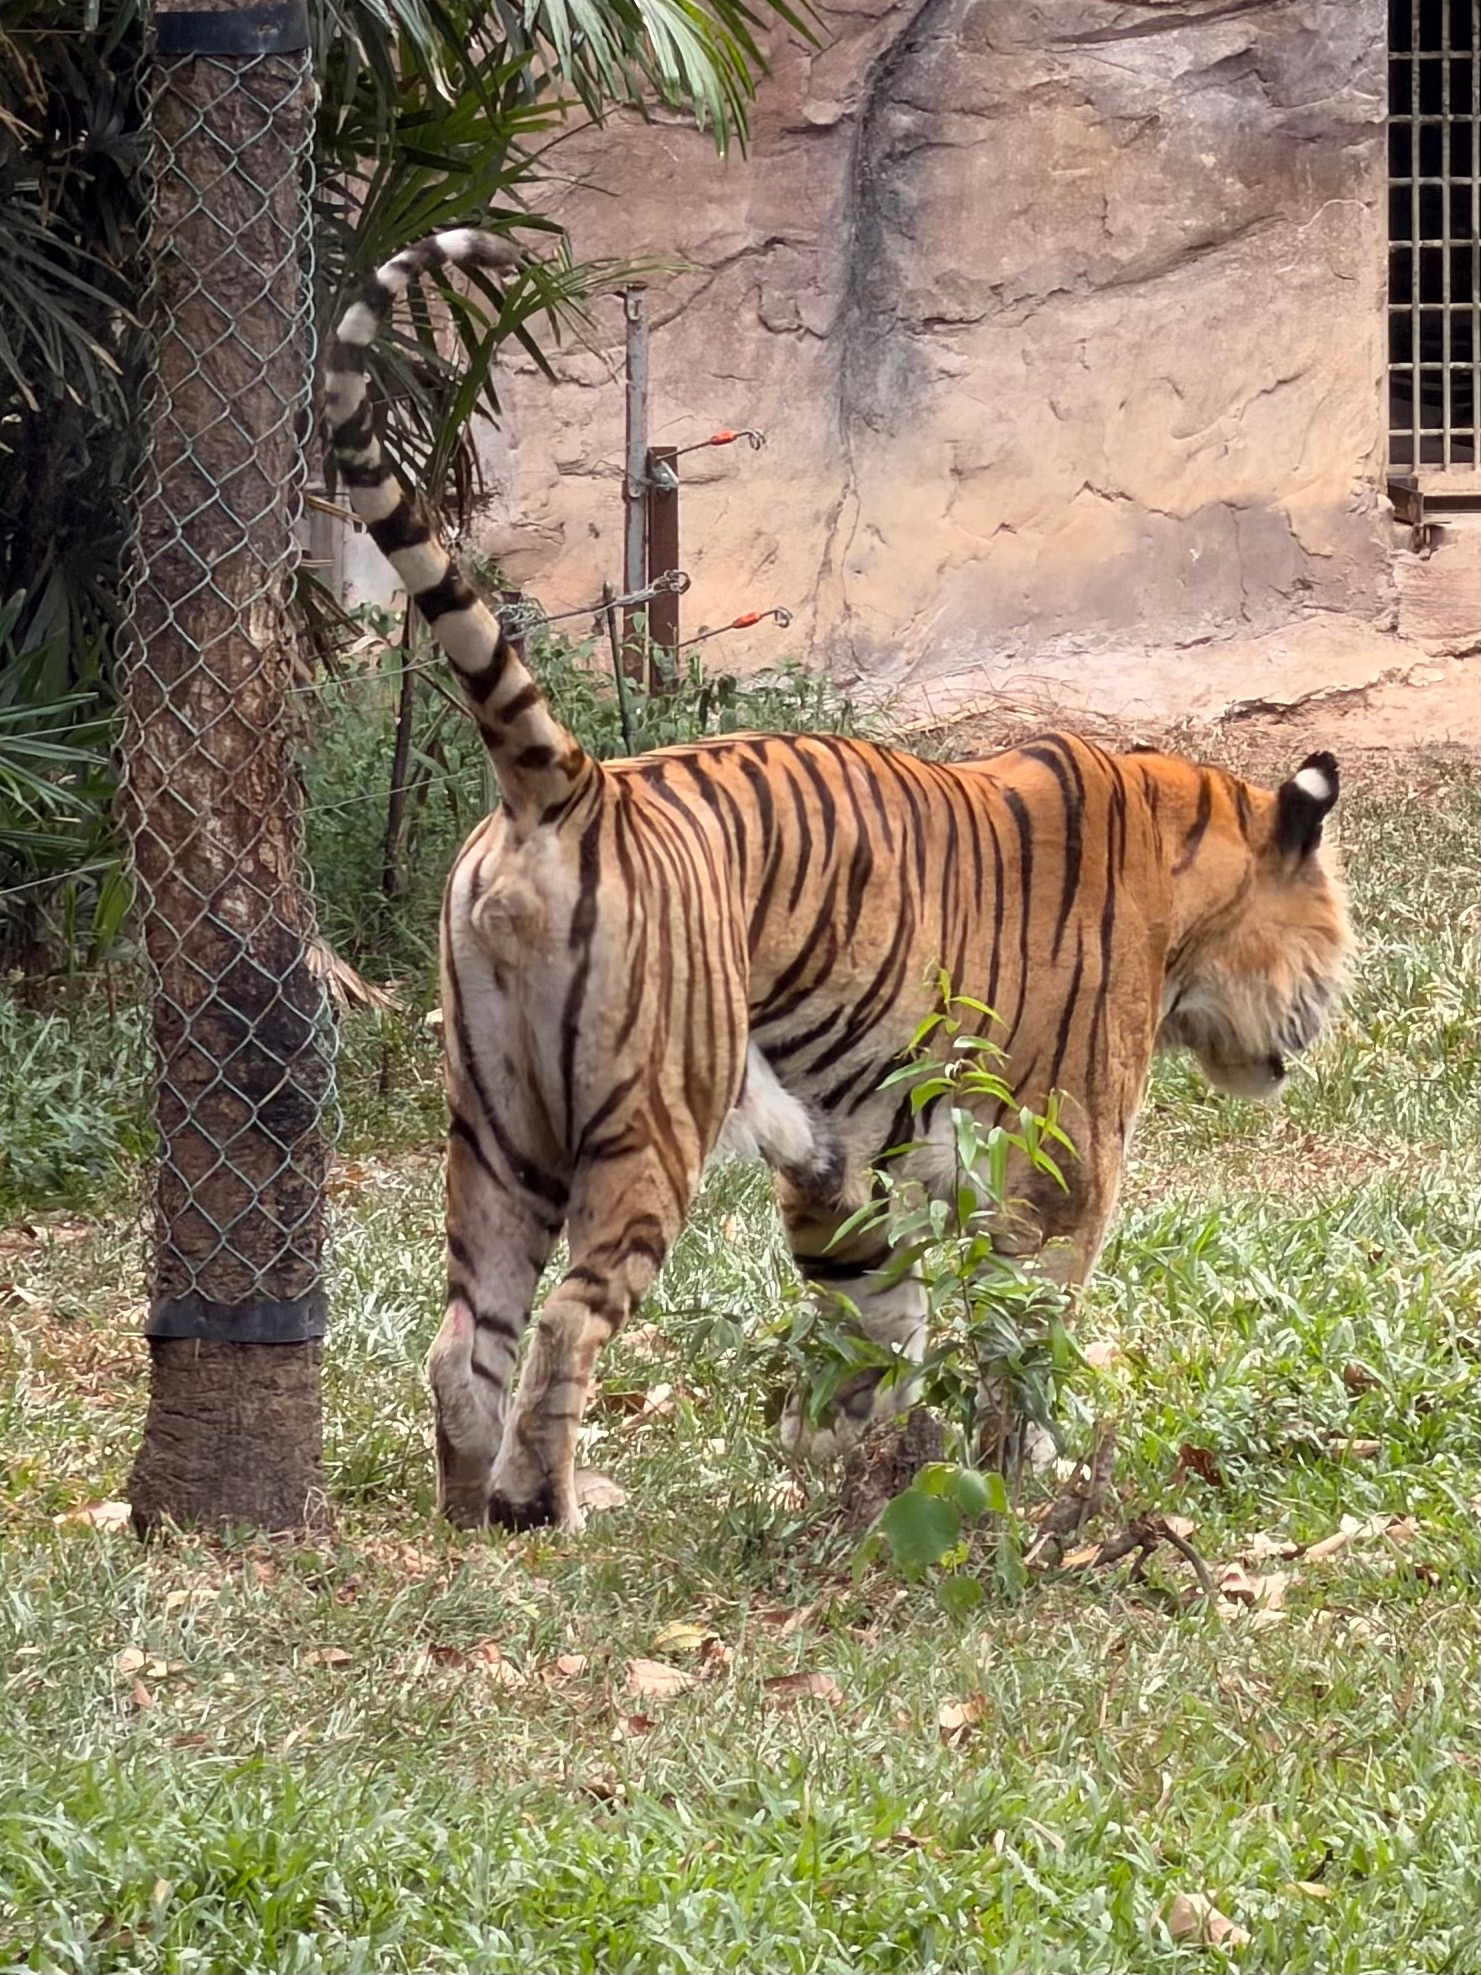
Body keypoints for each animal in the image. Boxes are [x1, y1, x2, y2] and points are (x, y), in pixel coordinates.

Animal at [325, 228, 1354, 1532]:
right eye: (1331, 948)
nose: (1313, 1031)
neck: (1184, 868)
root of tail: (570, 784)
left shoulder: (841, 1156)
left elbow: (877, 1310)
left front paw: (871, 1458)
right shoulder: (1063, 1153)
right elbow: (1021, 1327)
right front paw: (1015, 1472)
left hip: (498, 1123)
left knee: (465, 1332)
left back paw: (467, 1513)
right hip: (648, 1117)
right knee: (565, 1318)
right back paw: (537, 1504)